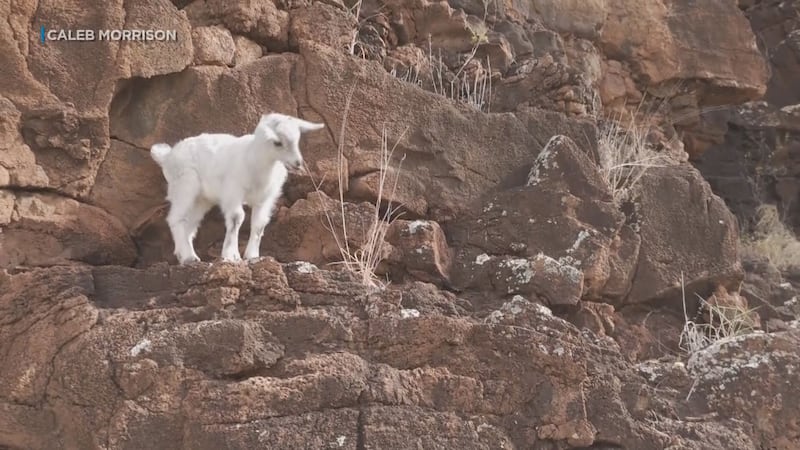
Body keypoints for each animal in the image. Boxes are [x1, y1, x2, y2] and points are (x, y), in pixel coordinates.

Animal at [150, 113, 325, 264]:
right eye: (278, 142)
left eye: (297, 140)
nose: (297, 163)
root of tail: (167, 156)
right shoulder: (233, 191)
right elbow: (236, 218)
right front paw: (230, 255)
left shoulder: (265, 198)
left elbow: (259, 224)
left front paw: (252, 256)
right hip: (184, 185)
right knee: (176, 218)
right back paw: (187, 257)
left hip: (201, 199)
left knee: (189, 225)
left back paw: (188, 255)